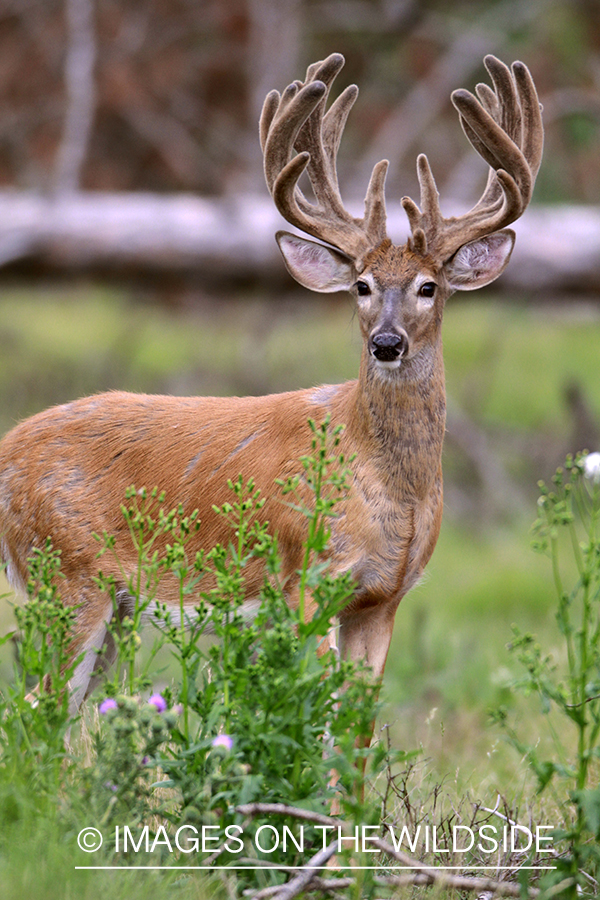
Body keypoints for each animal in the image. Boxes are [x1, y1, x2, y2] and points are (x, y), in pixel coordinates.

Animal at [0, 54, 544, 716]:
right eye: (361, 285)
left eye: (428, 287)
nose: (387, 344)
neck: (390, 484)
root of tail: (6, 453)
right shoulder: (305, 577)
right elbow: (318, 716)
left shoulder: (384, 599)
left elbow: (358, 730)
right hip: (64, 577)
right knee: (31, 711)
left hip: (109, 605)